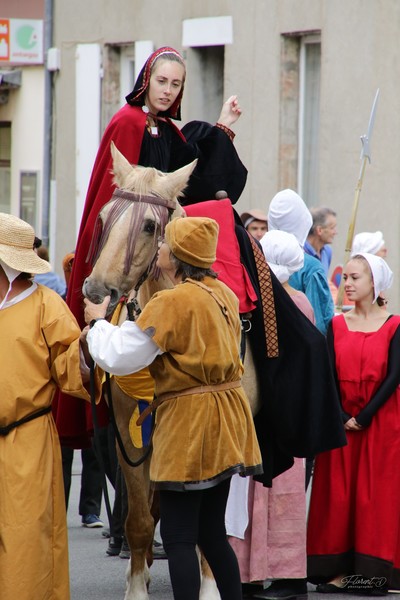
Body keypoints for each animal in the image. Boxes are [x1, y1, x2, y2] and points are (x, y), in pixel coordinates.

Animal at [83, 142, 260, 600]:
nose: (96, 291)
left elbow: (206, 529)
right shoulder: (130, 435)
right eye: (104, 217)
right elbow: (140, 522)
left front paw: (210, 587)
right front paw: (137, 586)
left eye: (149, 225)